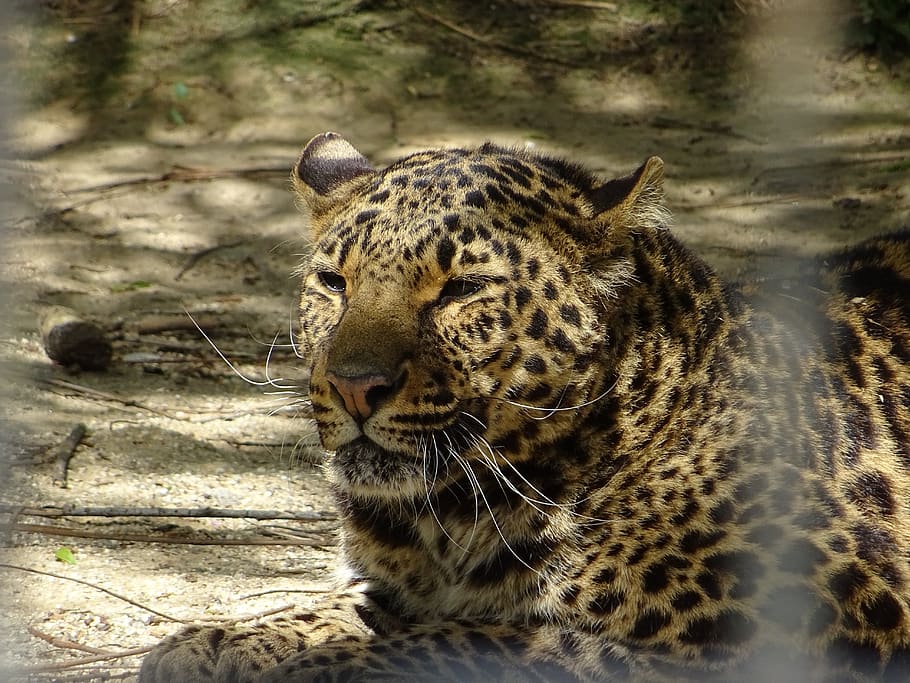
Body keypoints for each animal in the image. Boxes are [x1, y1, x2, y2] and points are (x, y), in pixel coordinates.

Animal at [139, 132, 910, 682]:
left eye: (460, 289)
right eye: (334, 281)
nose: (353, 384)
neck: (454, 516)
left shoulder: (805, 632)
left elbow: (494, 641)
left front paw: (319, 667)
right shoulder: (400, 584)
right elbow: (347, 607)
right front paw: (217, 642)